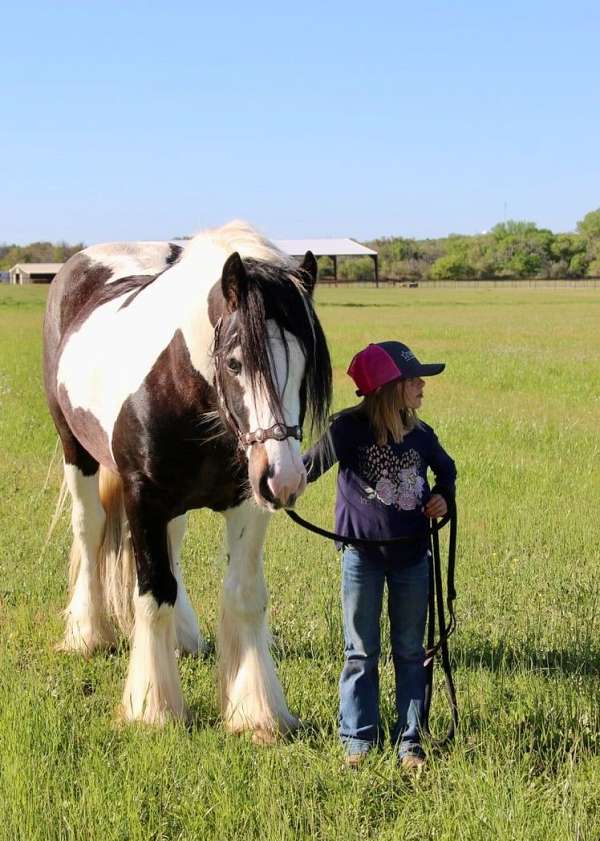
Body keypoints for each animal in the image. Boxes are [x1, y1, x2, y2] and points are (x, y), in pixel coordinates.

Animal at [42, 220, 332, 740]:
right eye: (235, 362)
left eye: (303, 366)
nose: (285, 478)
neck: (183, 387)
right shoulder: (143, 499)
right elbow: (153, 593)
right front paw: (152, 708)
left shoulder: (247, 501)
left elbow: (244, 596)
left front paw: (257, 713)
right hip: (77, 452)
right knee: (89, 529)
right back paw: (88, 633)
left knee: (173, 544)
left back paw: (183, 637)